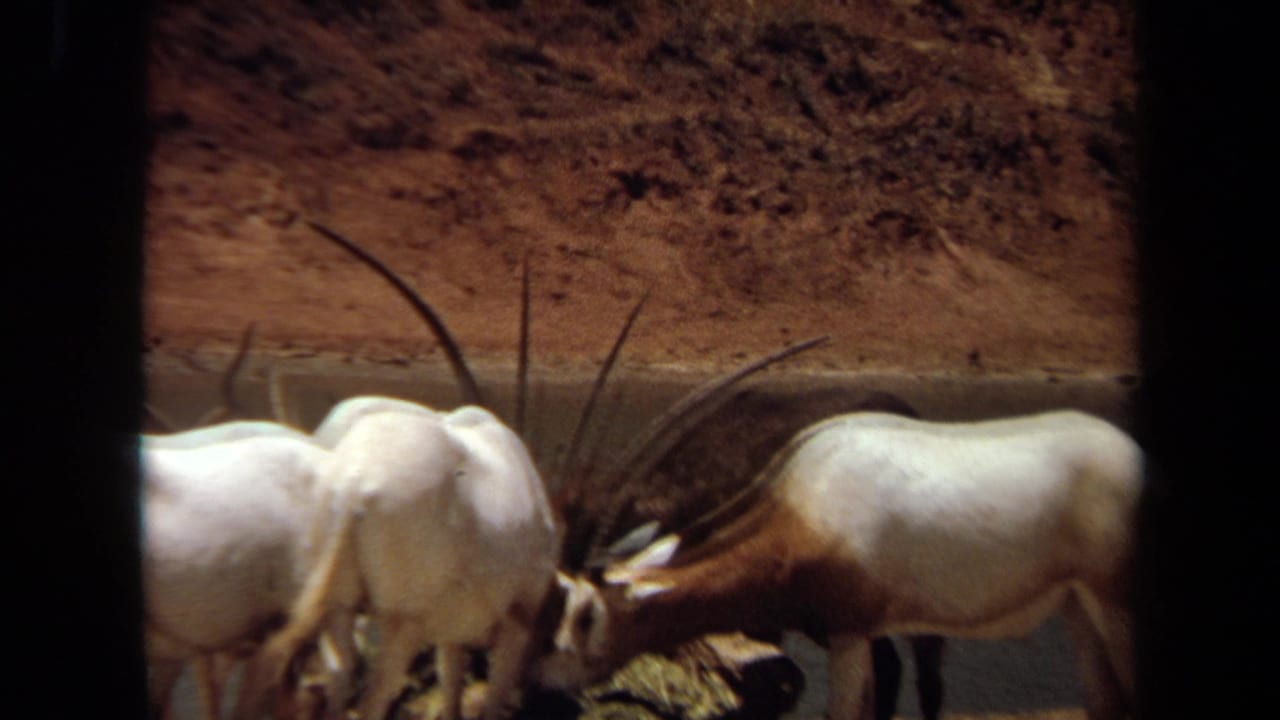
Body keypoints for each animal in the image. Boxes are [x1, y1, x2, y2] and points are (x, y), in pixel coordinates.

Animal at [537, 410, 1143, 720]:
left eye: (587, 615)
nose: (545, 681)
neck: (806, 505)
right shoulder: (860, 633)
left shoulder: (851, 630)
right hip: (1077, 606)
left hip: (1117, 603)